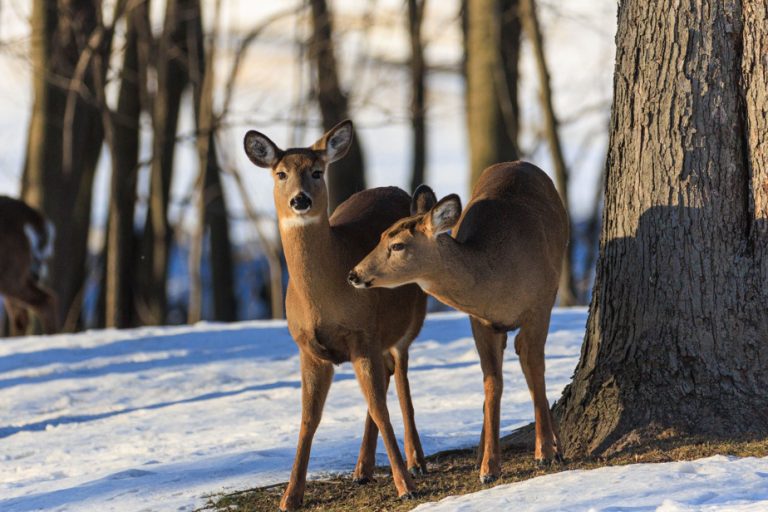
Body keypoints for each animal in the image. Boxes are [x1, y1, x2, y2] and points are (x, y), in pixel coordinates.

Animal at [244, 121, 428, 512]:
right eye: (281, 173)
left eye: (317, 171)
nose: (300, 200)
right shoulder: (308, 349)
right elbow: (308, 418)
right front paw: (290, 496)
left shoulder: (363, 335)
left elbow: (380, 408)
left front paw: (405, 486)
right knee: (388, 377)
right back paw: (362, 468)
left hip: (408, 322)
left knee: (400, 377)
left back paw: (416, 460)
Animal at [350, 162, 568, 482]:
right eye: (379, 236)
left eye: (398, 245)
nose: (354, 273)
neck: (499, 278)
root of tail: (518, 163)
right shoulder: (479, 320)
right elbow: (492, 382)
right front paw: (489, 467)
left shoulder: (539, 305)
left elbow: (535, 369)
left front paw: (546, 452)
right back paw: (481, 453)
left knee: (527, 361)